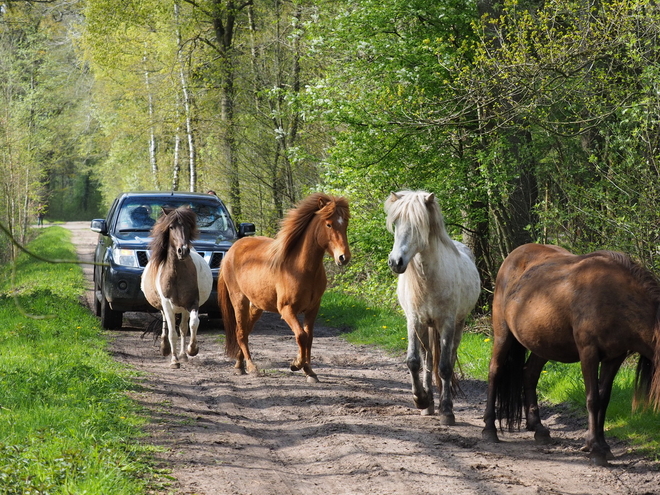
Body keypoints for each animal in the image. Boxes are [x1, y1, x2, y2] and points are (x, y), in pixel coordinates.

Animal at [141, 205, 213, 368]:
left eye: (188, 226)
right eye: (171, 227)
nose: (183, 250)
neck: (177, 275)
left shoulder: (192, 302)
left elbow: (193, 324)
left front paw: (192, 350)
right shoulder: (167, 304)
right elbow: (172, 332)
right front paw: (174, 360)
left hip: (183, 308)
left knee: (183, 327)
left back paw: (183, 355)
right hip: (165, 306)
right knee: (167, 325)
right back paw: (166, 348)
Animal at [218, 193, 354, 384]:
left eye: (345, 223)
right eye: (329, 224)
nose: (343, 257)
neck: (300, 268)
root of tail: (232, 250)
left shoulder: (313, 309)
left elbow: (309, 337)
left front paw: (309, 371)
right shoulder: (287, 310)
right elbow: (301, 336)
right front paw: (297, 364)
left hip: (256, 306)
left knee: (245, 331)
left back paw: (239, 365)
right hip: (239, 300)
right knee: (241, 332)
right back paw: (251, 367)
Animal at [384, 192, 482, 424]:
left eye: (418, 225)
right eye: (396, 223)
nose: (395, 262)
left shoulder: (447, 323)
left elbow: (445, 367)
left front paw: (446, 410)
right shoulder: (413, 320)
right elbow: (413, 361)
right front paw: (421, 399)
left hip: (458, 325)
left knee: (449, 357)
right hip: (426, 326)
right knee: (428, 357)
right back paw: (428, 403)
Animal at [482, 245, 660, 468]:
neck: (615, 296)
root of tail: (513, 256)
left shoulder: (614, 357)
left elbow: (604, 399)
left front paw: (602, 445)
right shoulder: (588, 352)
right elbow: (593, 399)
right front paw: (596, 449)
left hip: (542, 344)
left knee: (529, 375)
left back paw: (538, 428)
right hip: (503, 334)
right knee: (495, 372)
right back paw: (489, 429)